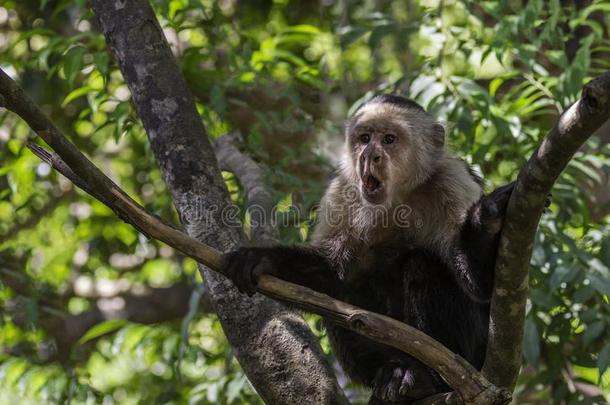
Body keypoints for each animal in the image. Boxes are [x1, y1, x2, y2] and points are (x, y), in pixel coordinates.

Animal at [221, 95, 510, 404]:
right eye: (365, 138)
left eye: (389, 139)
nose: (369, 155)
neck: (398, 197)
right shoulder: (342, 191)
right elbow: (333, 273)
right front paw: (262, 259)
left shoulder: (452, 182)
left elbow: (480, 285)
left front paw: (487, 218)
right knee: (345, 292)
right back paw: (393, 374)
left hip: (476, 355)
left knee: (423, 264)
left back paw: (427, 379)